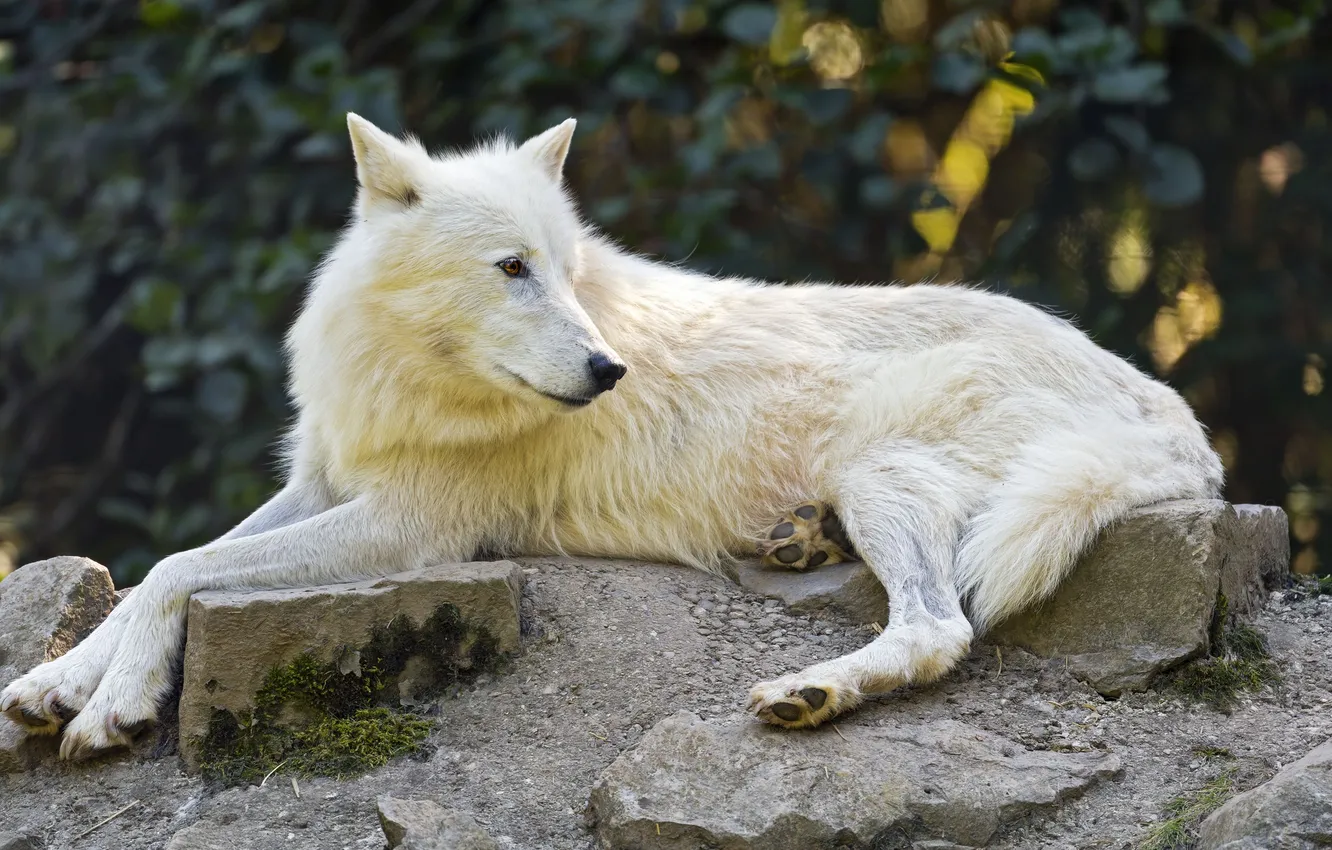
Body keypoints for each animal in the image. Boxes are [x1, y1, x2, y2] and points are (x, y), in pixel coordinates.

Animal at [1, 114, 1223, 758]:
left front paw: (111, 705)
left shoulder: (412, 524)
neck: (411, 378)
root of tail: (1173, 412)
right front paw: (59, 680)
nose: (606, 371)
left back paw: (812, 691)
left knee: (938, 628)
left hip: (881, 468)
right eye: (512, 269)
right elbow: (176, 562)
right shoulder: (329, 482)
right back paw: (798, 544)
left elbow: (185, 570)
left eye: (566, 268)